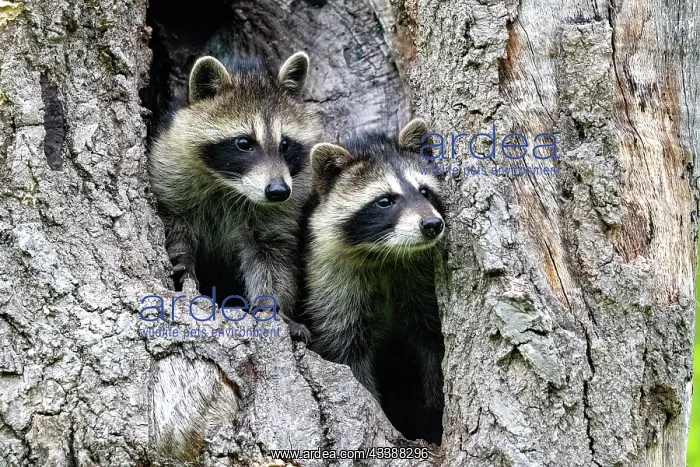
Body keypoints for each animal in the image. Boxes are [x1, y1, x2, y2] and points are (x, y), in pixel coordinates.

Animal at [149, 52, 320, 342]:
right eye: (243, 143)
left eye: (285, 144)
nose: (278, 191)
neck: (231, 187)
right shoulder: (169, 168)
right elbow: (173, 220)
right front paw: (182, 258)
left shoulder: (280, 211)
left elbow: (272, 259)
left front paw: (272, 307)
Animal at [304, 120, 445, 443]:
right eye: (384, 200)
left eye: (425, 191)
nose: (432, 225)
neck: (387, 256)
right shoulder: (332, 284)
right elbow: (346, 352)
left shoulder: (419, 282)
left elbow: (432, 343)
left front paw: (434, 407)